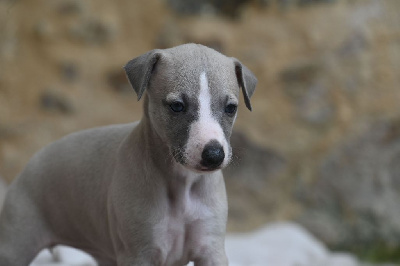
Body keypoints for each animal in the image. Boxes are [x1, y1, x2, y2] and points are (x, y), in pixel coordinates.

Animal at [0, 44, 256, 266]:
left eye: (231, 108)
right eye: (177, 106)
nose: (213, 155)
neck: (182, 185)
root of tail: (30, 164)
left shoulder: (211, 250)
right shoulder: (139, 254)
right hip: (15, 244)